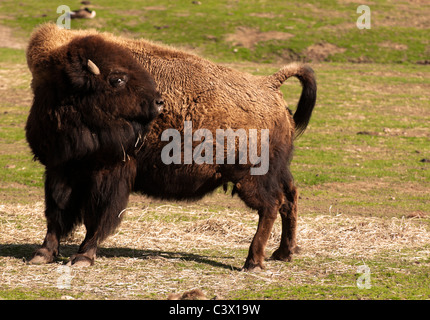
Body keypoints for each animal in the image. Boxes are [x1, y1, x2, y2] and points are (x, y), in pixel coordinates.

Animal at [26, 23, 316, 272]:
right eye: (118, 79)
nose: (158, 102)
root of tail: (270, 86)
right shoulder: (61, 169)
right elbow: (56, 213)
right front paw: (43, 254)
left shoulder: (109, 172)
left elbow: (98, 216)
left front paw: (83, 257)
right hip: (278, 170)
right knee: (289, 198)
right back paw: (283, 253)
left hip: (250, 177)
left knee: (271, 205)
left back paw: (254, 261)